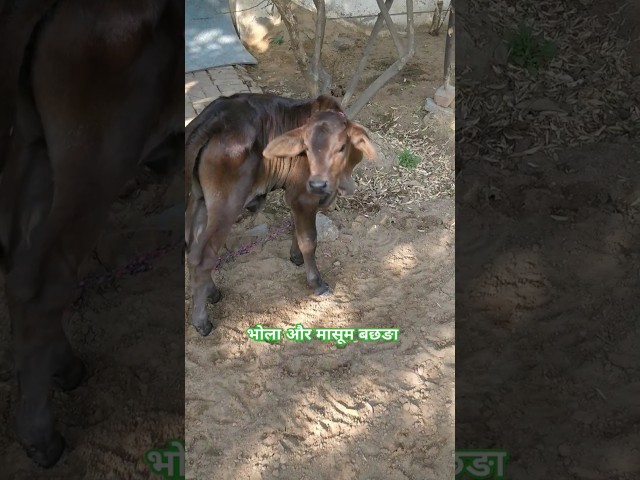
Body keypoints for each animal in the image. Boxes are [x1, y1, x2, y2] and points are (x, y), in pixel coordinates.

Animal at [0, 0, 182, 466]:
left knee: (19, 268)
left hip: (37, 152)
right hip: (97, 168)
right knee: (43, 286)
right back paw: (41, 438)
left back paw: (65, 368)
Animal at [184, 92, 376, 336]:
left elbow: (297, 227)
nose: (319, 183)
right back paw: (201, 322)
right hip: (226, 204)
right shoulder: (302, 195)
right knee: (204, 257)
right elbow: (309, 239)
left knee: (193, 249)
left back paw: (211, 293)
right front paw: (316, 282)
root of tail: (214, 116)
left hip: (200, 200)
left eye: (341, 147)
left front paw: (295, 256)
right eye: (307, 148)